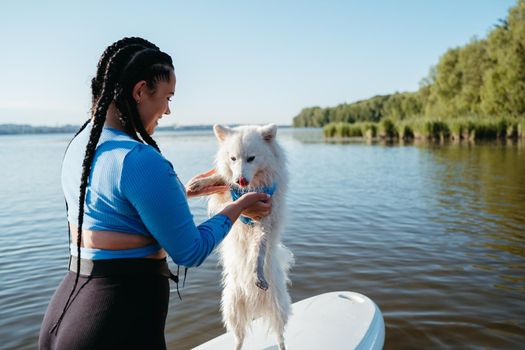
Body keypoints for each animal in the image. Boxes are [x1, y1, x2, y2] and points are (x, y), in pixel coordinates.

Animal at [188, 124, 294, 348]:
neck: (252, 186)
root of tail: (255, 303)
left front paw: (256, 272)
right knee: (239, 337)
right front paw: (201, 182)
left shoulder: (265, 221)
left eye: (251, 158)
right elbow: (222, 179)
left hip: (277, 306)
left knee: (280, 335)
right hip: (232, 308)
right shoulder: (229, 194)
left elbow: (259, 250)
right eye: (233, 158)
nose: (241, 180)